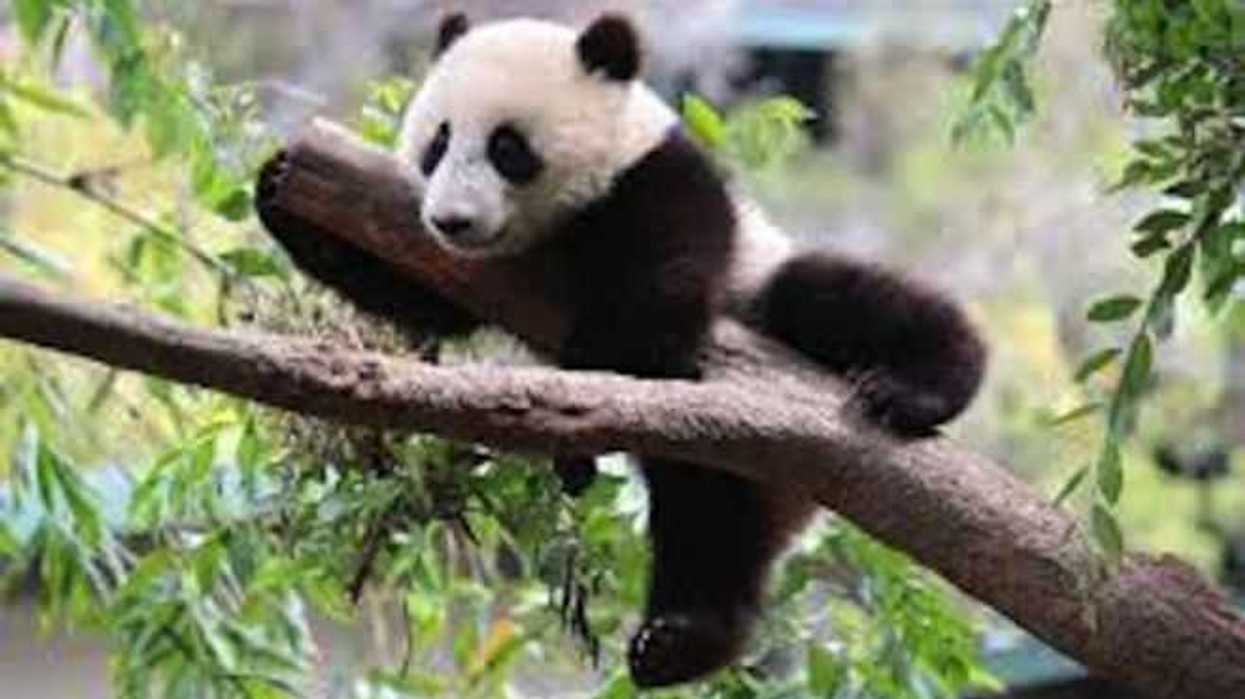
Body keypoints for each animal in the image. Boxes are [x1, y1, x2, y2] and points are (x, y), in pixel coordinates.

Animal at [266, 12, 986, 688]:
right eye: (437, 142)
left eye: (507, 147)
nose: (451, 220)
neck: (560, 224)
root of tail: (798, 501)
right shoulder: (474, 271)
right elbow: (418, 296)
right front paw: (279, 189)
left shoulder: (660, 184)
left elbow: (655, 300)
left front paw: (579, 421)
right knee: (708, 526)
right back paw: (680, 640)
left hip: (762, 297)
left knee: (837, 299)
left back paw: (915, 389)